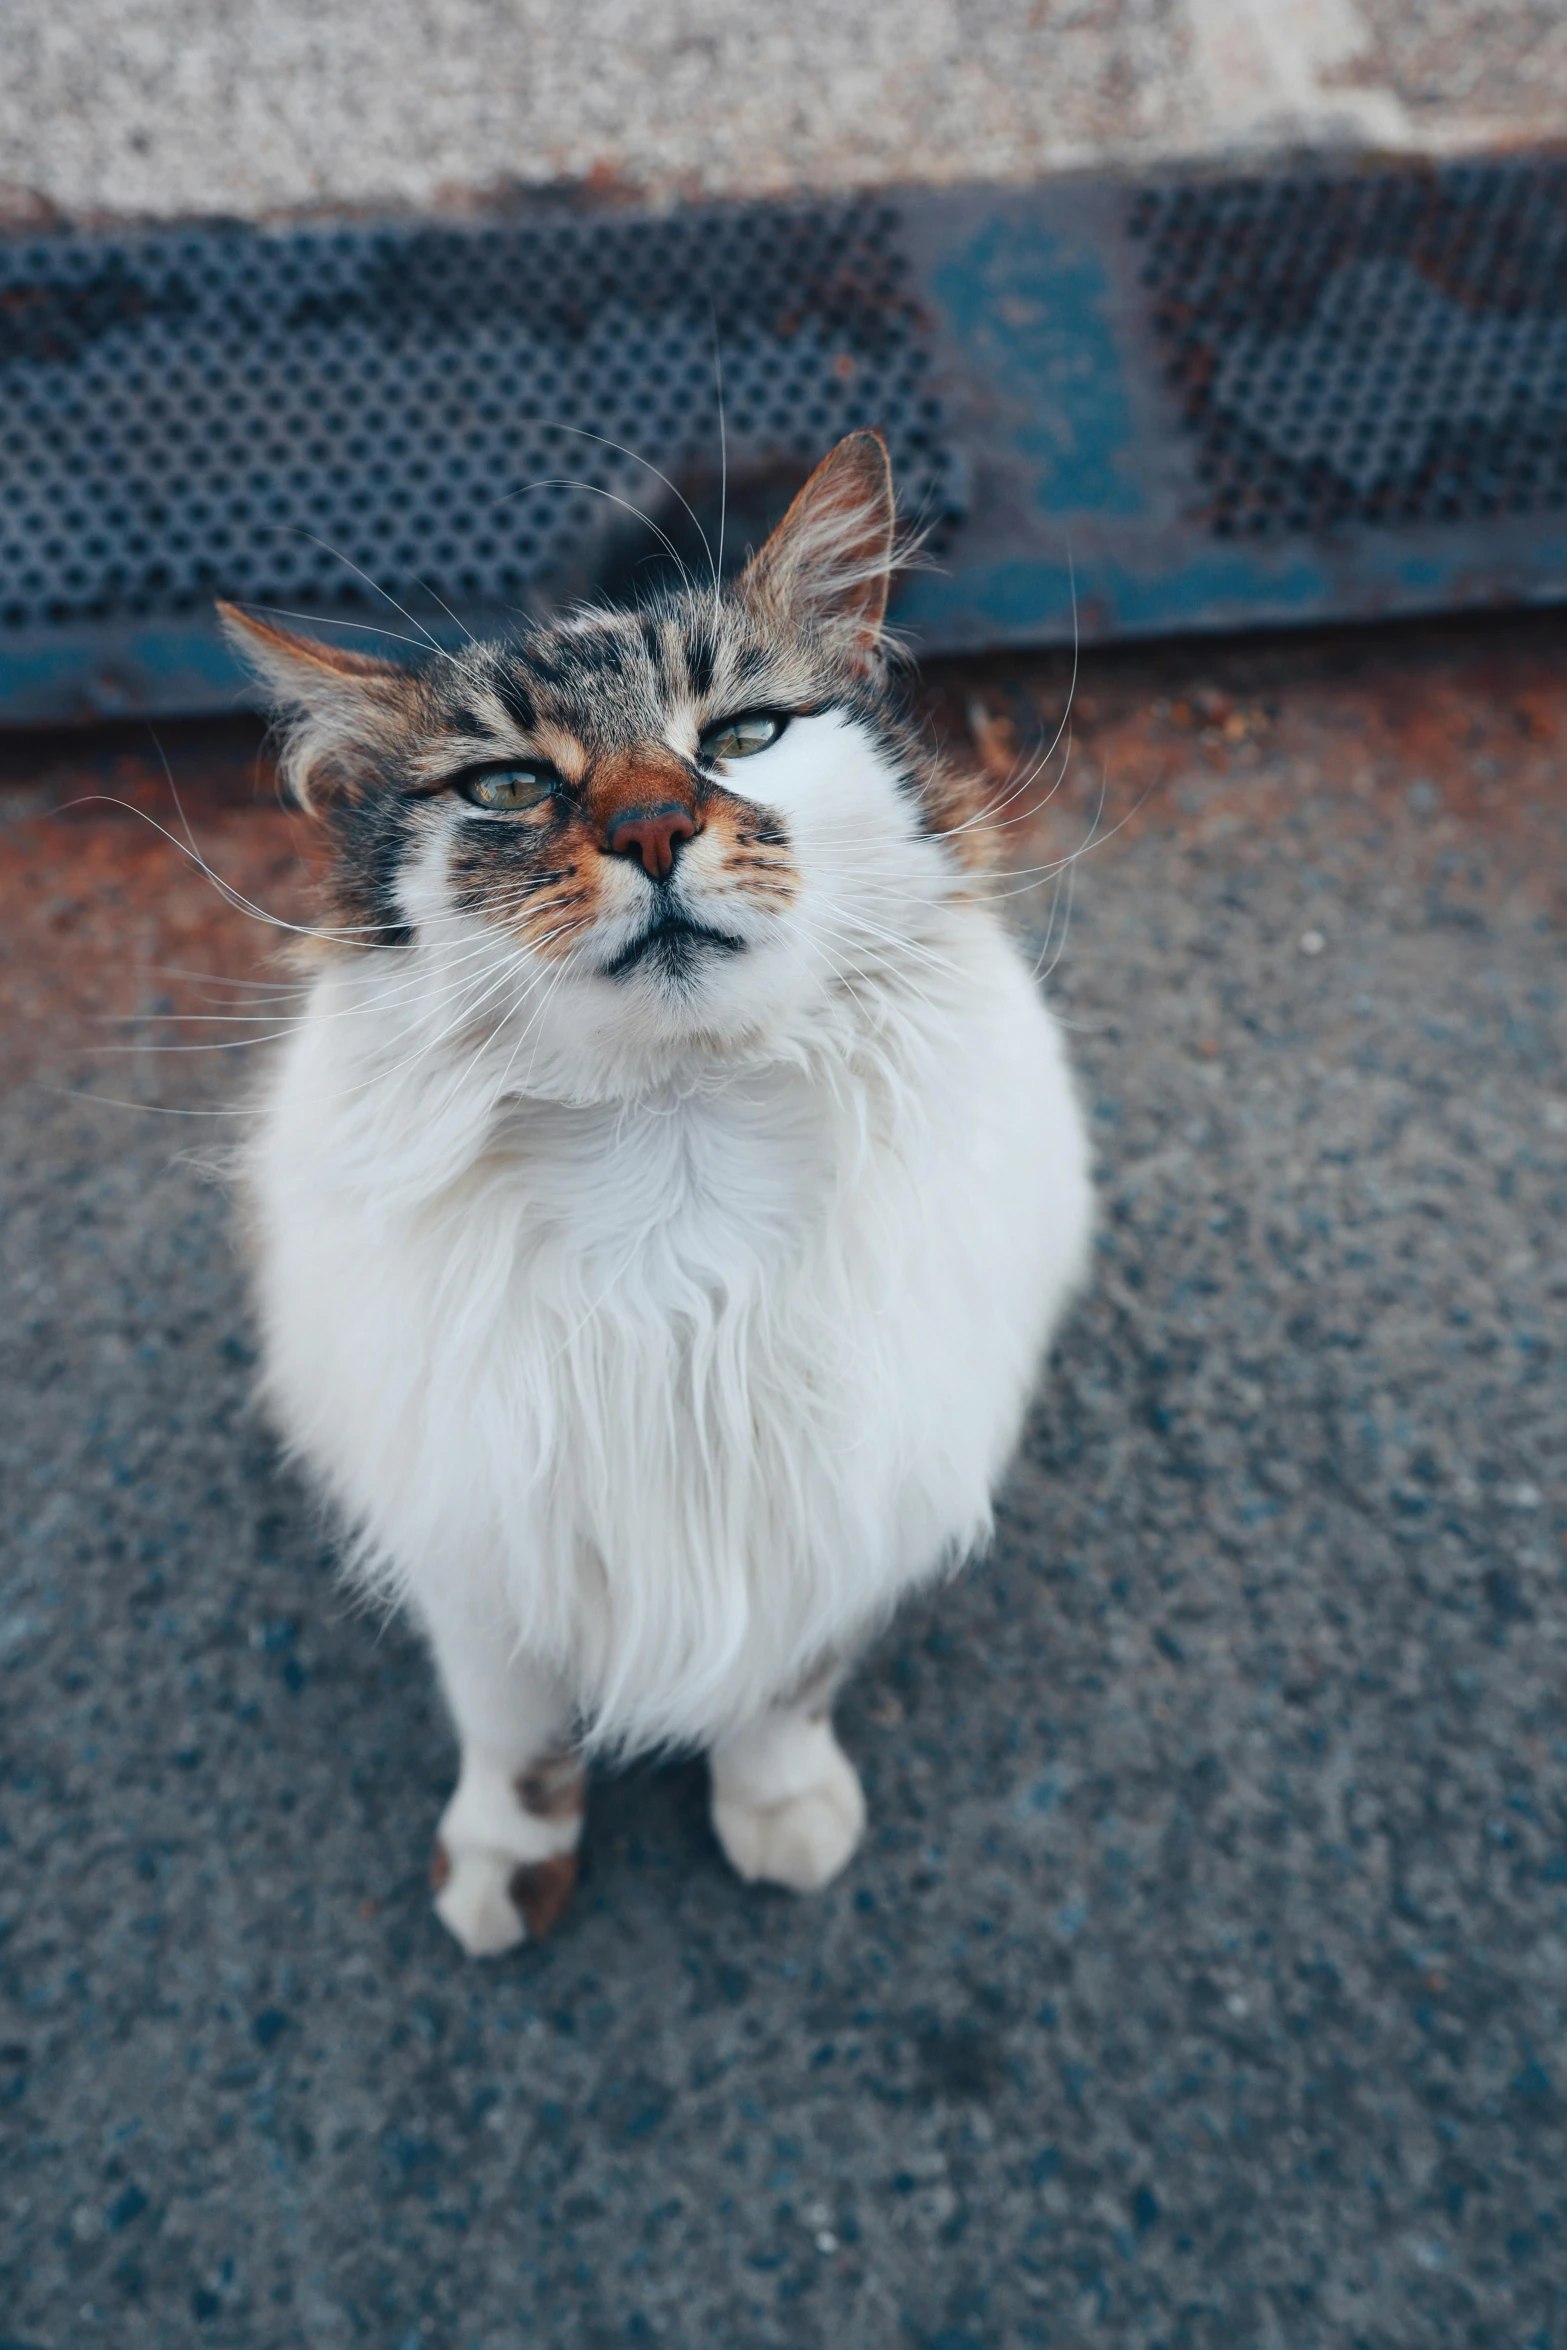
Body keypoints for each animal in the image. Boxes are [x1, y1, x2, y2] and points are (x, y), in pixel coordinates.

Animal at [223, 432, 1090, 1955]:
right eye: (510, 786)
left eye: (741, 736)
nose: (651, 828)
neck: (676, 1163)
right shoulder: (481, 1533)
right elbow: (512, 1731)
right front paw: (506, 1867)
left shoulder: (844, 1495)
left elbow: (788, 1683)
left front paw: (780, 1807)